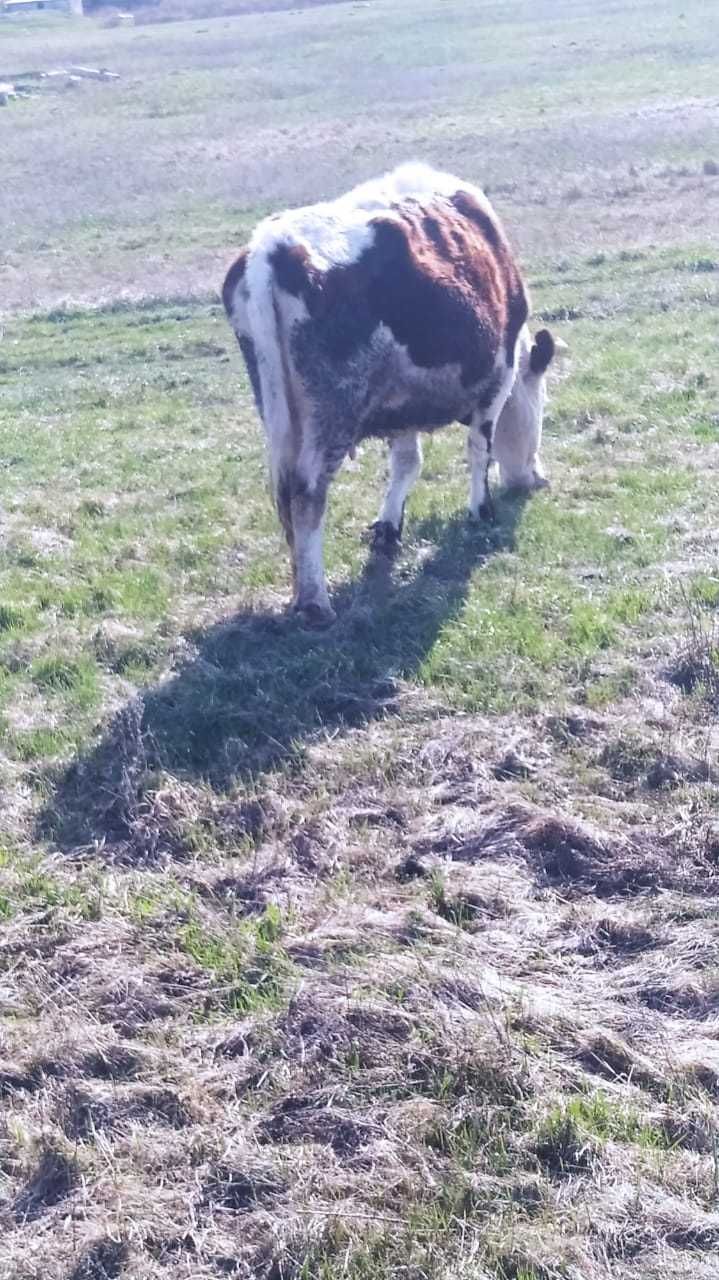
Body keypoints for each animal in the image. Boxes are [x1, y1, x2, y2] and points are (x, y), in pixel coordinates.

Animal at [221, 165, 557, 624]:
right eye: (540, 405)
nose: (534, 478)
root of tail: (275, 249)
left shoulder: (401, 404)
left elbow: (406, 463)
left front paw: (388, 527)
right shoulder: (498, 378)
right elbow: (478, 449)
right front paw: (481, 510)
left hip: (279, 413)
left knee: (287, 496)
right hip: (330, 418)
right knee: (306, 494)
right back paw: (315, 602)